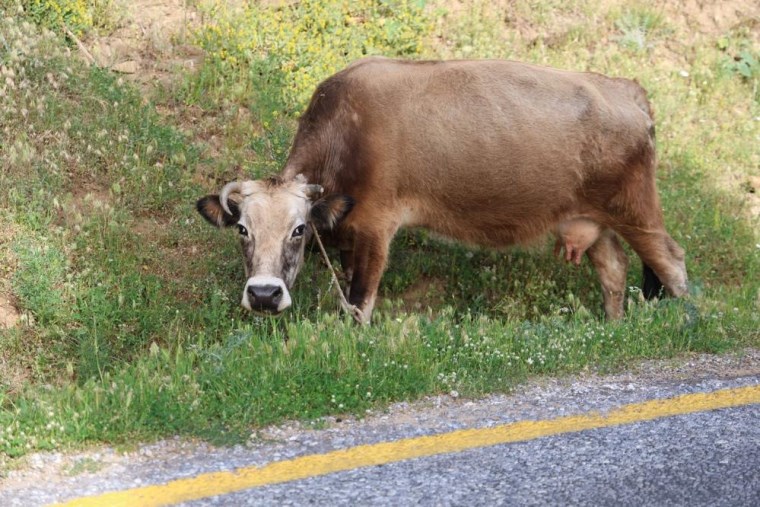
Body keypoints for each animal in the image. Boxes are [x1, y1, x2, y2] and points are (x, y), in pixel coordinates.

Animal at [197, 56, 688, 326]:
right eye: (242, 230)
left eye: (298, 230)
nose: (264, 295)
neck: (345, 134)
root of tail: (625, 88)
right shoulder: (350, 233)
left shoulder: (377, 225)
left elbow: (360, 301)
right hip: (591, 218)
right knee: (614, 270)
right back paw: (613, 328)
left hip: (637, 208)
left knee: (672, 263)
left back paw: (687, 323)